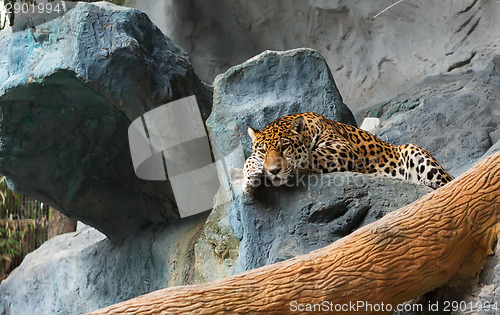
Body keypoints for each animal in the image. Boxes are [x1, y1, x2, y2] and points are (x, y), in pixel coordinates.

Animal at [242, 112, 454, 194]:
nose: (274, 171)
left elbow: (310, 157)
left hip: (412, 148)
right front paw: (250, 178)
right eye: (262, 152)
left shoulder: (342, 148)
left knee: (448, 182)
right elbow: (248, 160)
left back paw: (425, 182)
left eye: (285, 148)